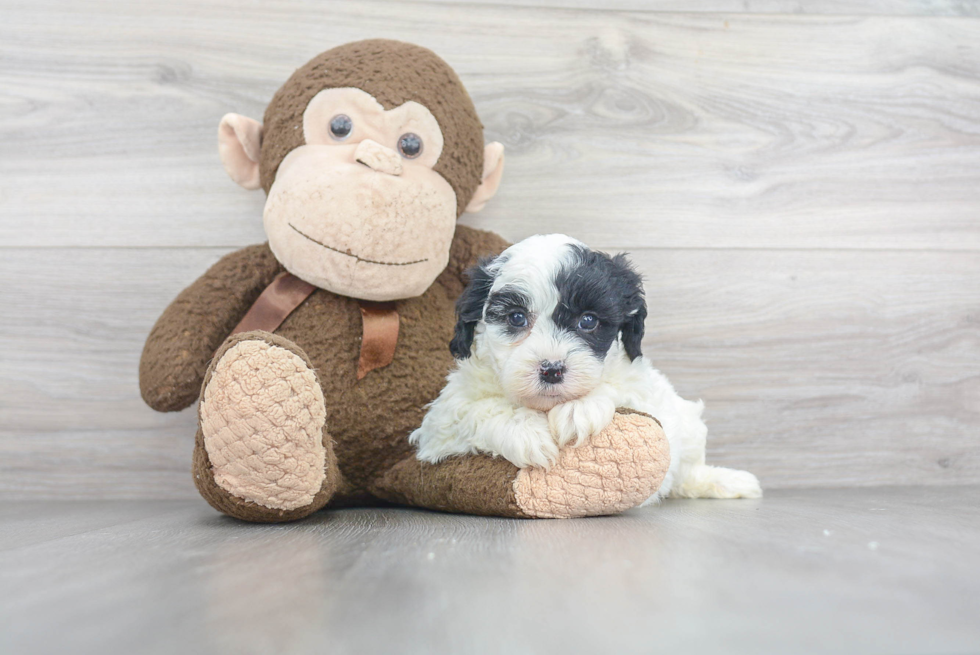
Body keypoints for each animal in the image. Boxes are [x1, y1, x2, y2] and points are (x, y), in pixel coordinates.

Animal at [410, 233, 760, 500]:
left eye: (588, 321)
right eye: (516, 318)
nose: (552, 370)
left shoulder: (643, 388)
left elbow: (618, 389)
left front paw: (578, 408)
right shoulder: (439, 427)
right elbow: (477, 410)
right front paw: (524, 431)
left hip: (687, 425)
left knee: (687, 470)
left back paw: (727, 482)